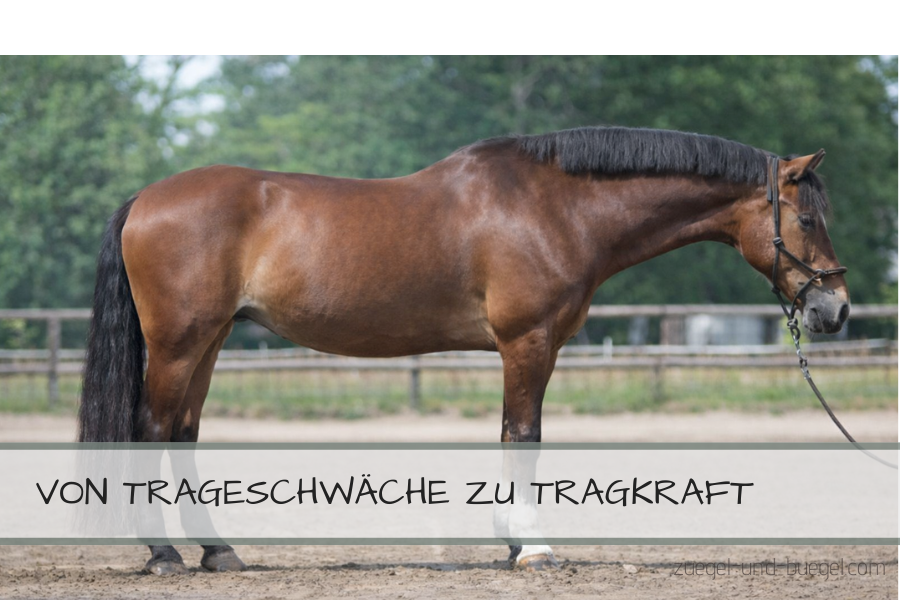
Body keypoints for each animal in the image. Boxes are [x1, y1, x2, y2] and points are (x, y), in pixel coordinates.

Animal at [78, 126, 850, 574]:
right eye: (807, 220)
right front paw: (532, 547)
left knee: (183, 433)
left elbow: (510, 436)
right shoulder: (528, 342)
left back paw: (217, 550)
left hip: (209, 341)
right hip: (180, 342)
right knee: (151, 429)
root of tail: (146, 199)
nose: (835, 309)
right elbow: (524, 435)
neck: (554, 206)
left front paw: (511, 540)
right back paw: (163, 554)